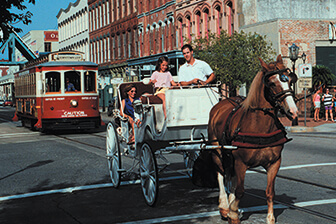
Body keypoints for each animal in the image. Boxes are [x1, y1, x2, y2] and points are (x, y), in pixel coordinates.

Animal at [209, 54, 298, 224]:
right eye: (271, 83)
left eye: (290, 80)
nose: (293, 111)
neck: (260, 127)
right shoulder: (241, 163)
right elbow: (240, 191)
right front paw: (233, 213)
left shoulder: (274, 163)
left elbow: (269, 192)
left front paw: (270, 218)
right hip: (217, 150)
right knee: (220, 175)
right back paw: (224, 206)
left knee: (230, 177)